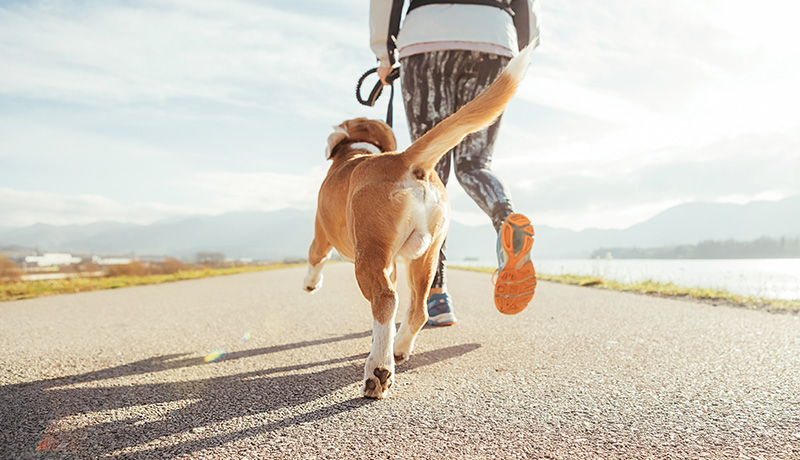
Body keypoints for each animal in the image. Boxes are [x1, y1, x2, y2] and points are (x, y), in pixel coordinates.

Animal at [304, 45, 536, 398]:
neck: (356, 153)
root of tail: (404, 160)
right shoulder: (394, 263)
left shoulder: (321, 232)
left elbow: (315, 257)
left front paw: (311, 283)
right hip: (425, 256)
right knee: (418, 309)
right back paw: (398, 348)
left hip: (369, 254)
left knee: (386, 300)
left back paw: (379, 369)